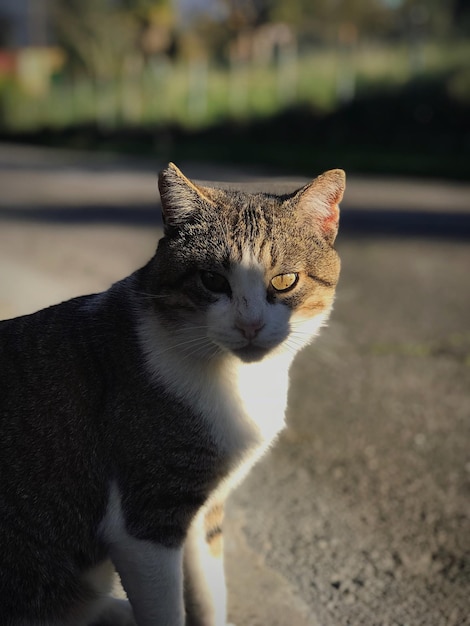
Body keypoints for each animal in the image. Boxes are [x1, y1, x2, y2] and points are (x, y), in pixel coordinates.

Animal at [0, 162, 346, 624]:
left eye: (285, 280)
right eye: (212, 280)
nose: (250, 325)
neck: (235, 378)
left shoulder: (204, 510)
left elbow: (208, 593)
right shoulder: (146, 519)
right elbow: (166, 609)